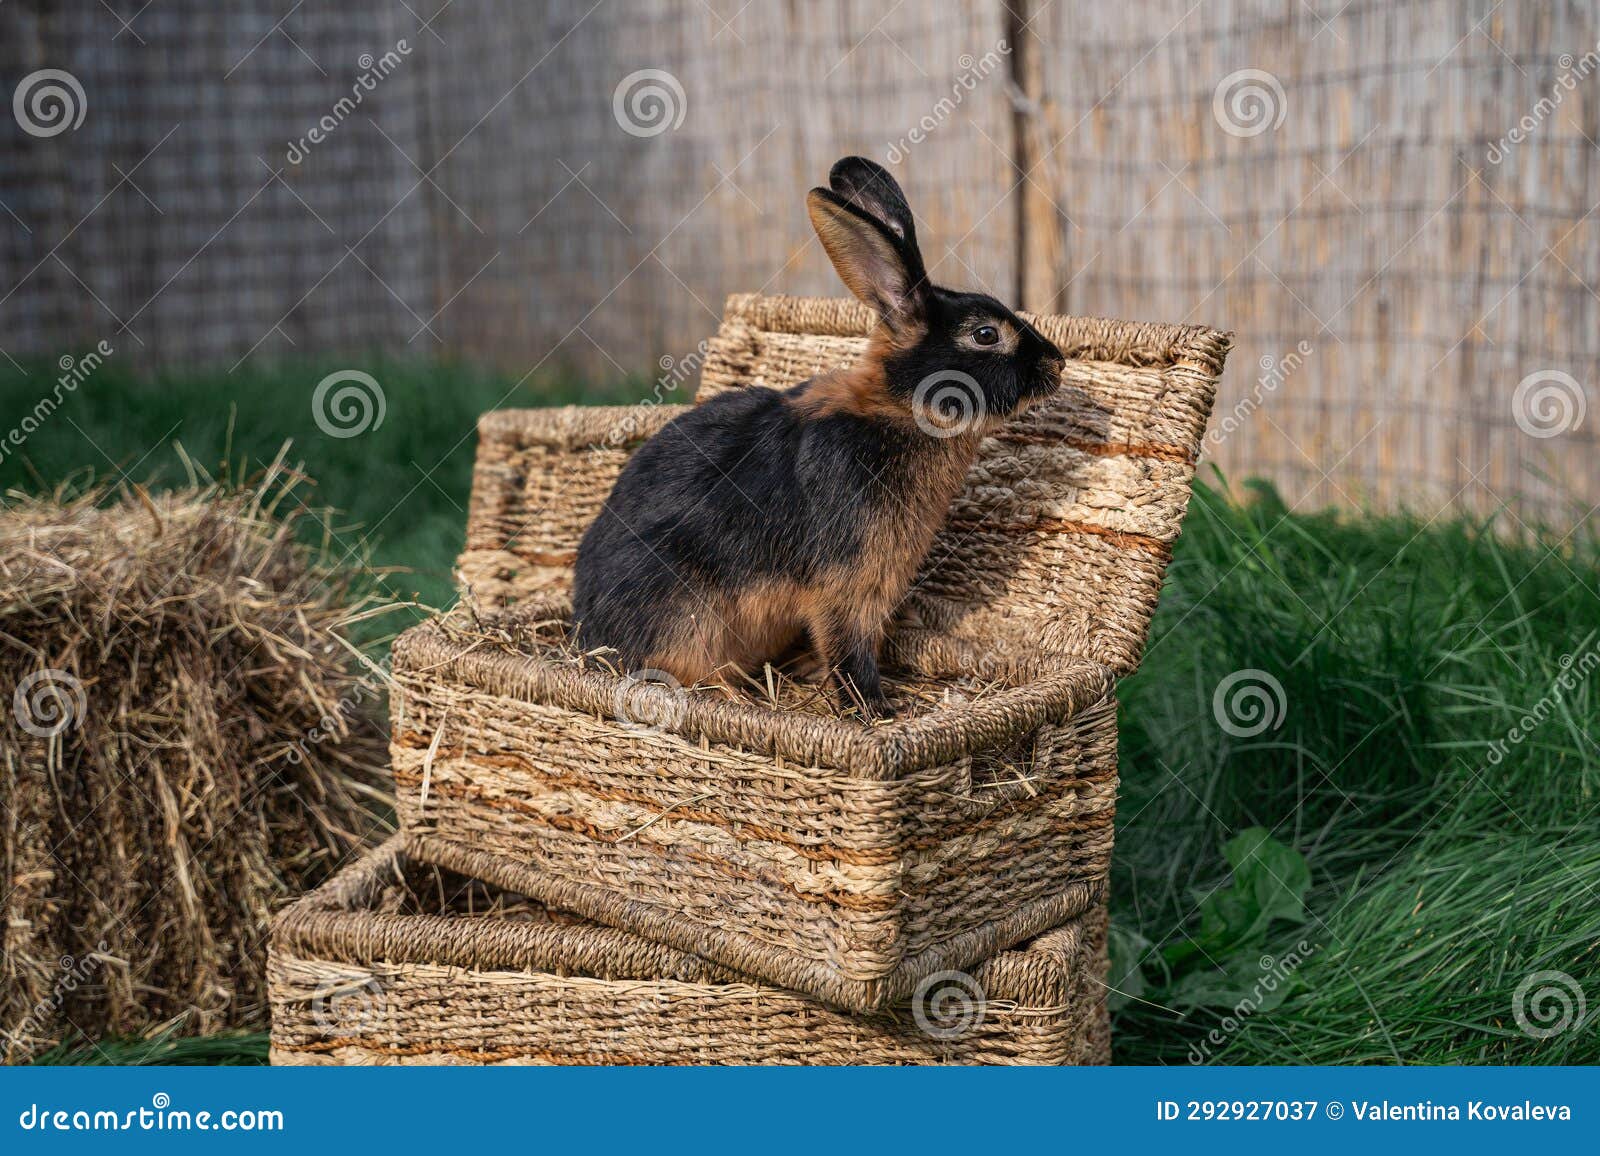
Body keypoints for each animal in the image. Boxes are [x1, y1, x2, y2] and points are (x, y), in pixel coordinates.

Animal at [572, 156, 1065, 719]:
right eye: (985, 334)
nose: (1057, 363)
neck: (899, 408)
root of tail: (586, 635)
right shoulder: (850, 583)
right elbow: (849, 646)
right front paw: (874, 711)